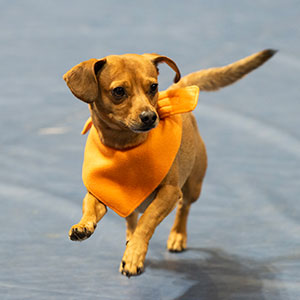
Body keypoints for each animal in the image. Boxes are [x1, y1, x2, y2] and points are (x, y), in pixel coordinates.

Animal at [63, 49, 276, 276]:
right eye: (118, 91)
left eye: (153, 87)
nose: (150, 116)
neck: (124, 148)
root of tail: (176, 90)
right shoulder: (100, 193)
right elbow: (90, 207)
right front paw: (84, 225)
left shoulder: (170, 193)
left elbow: (147, 220)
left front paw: (134, 255)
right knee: (131, 218)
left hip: (192, 187)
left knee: (183, 208)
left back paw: (177, 236)